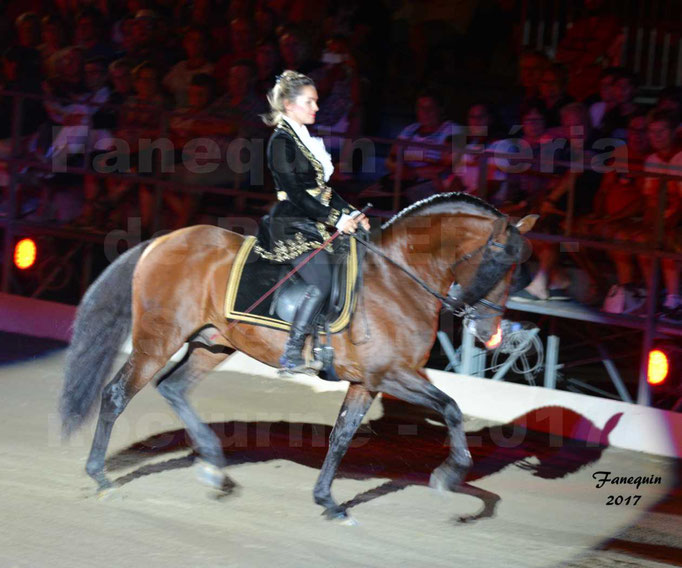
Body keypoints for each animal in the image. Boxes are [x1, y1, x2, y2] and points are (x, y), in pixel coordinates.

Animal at [61, 193, 532, 520]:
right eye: (496, 260)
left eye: (517, 267)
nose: (489, 334)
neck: (397, 279)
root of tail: (161, 241)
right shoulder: (392, 374)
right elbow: (451, 407)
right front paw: (449, 475)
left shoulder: (368, 381)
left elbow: (342, 436)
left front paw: (328, 501)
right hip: (158, 339)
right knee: (117, 395)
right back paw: (100, 476)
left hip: (213, 343)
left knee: (172, 388)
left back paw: (215, 469)